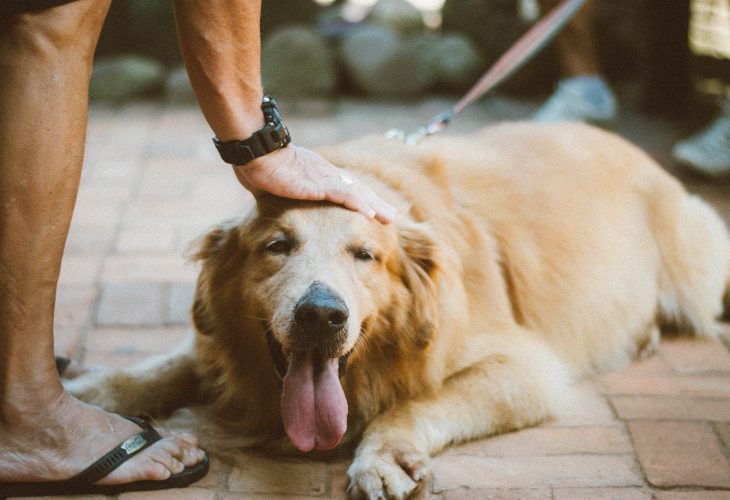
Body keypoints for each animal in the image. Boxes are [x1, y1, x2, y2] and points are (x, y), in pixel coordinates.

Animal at [65, 122, 724, 500]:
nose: (321, 315)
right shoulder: (218, 345)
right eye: (278, 246)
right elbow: (162, 367)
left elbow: (414, 402)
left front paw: (383, 455)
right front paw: (91, 393)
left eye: (365, 255)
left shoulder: (525, 365)